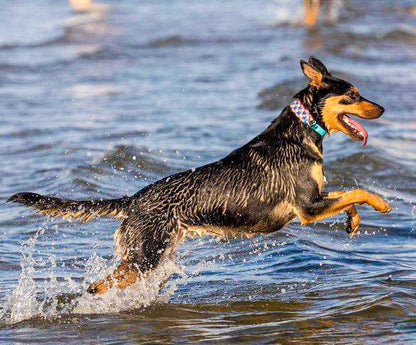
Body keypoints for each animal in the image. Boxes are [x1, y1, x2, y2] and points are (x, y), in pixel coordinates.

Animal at [10, 56, 394, 292]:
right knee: (99, 284)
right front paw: (383, 204)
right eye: (353, 94)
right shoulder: (307, 208)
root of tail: (133, 200)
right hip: (145, 257)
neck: (301, 130)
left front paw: (354, 221)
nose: (383, 108)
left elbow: (347, 195)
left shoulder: (315, 200)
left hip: (155, 254)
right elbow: (357, 190)